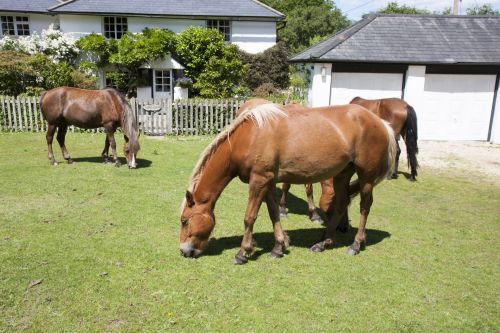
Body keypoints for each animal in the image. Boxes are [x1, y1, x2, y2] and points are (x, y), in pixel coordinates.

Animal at [181, 100, 398, 264]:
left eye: (184, 220)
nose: (184, 251)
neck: (250, 136)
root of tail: (381, 122)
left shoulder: (259, 180)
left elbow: (249, 217)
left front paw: (243, 252)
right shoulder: (268, 181)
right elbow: (273, 213)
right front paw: (279, 246)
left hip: (366, 177)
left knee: (364, 207)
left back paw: (356, 244)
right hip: (342, 174)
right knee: (340, 205)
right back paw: (324, 243)